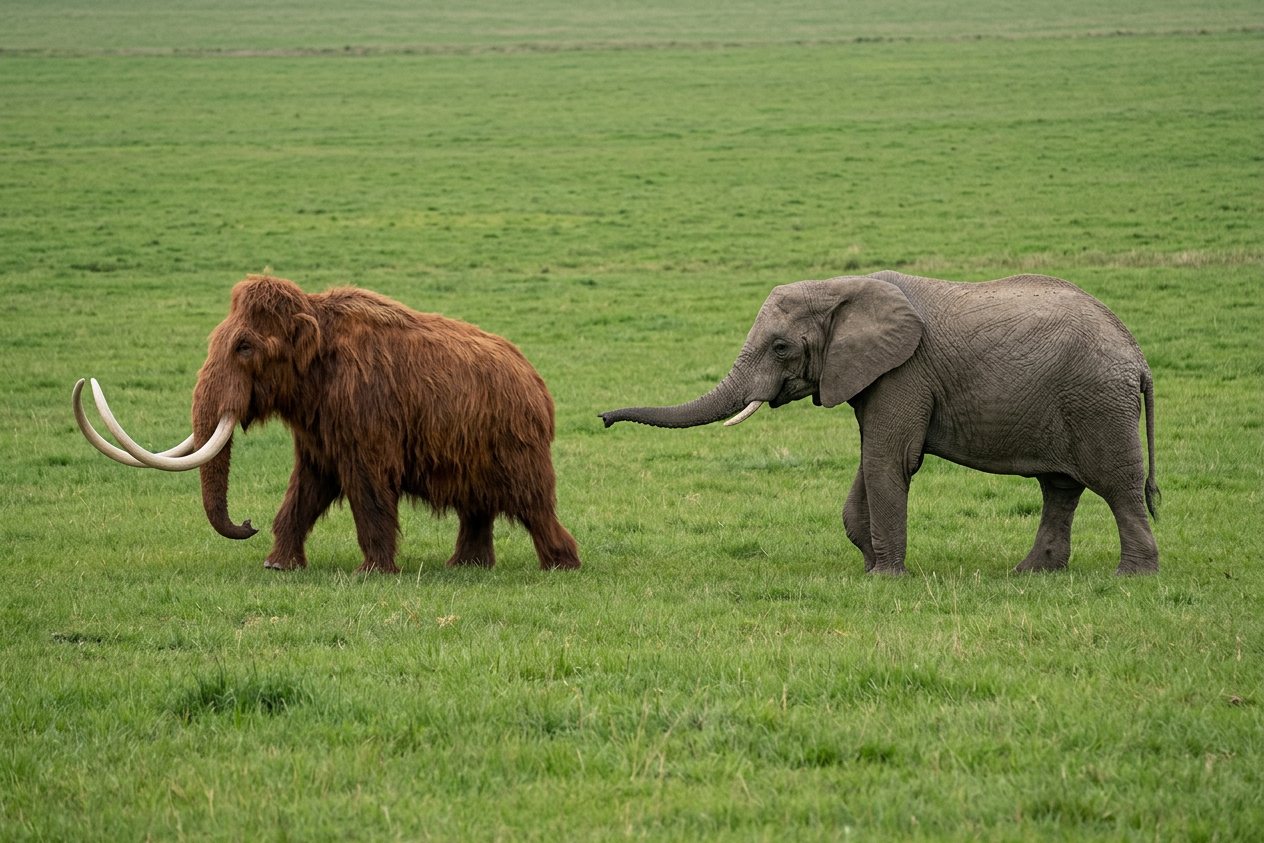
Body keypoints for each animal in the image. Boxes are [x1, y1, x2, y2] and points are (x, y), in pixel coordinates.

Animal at [74, 274, 581, 573]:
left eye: (244, 347)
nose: (246, 522)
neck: (319, 342)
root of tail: (537, 384)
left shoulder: (365, 421)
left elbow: (369, 494)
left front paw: (373, 573)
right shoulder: (318, 438)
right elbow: (303, 494)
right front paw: (278, 566)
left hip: (518, 454)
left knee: (535, 507)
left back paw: (562, 563)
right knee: (477, 509)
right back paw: (466, 566)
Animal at [601, 270, 1159, 575]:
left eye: (780, 347)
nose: (603, 418)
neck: (839, 287)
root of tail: (1138, 356)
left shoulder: (905, 371)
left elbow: (889, 460)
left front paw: (885, 577)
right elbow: (870, 459)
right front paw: (871, 561)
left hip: (1098, 402)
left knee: (1117, 485)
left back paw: (1130, 577)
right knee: (1059, 488)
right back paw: (1031, 574)